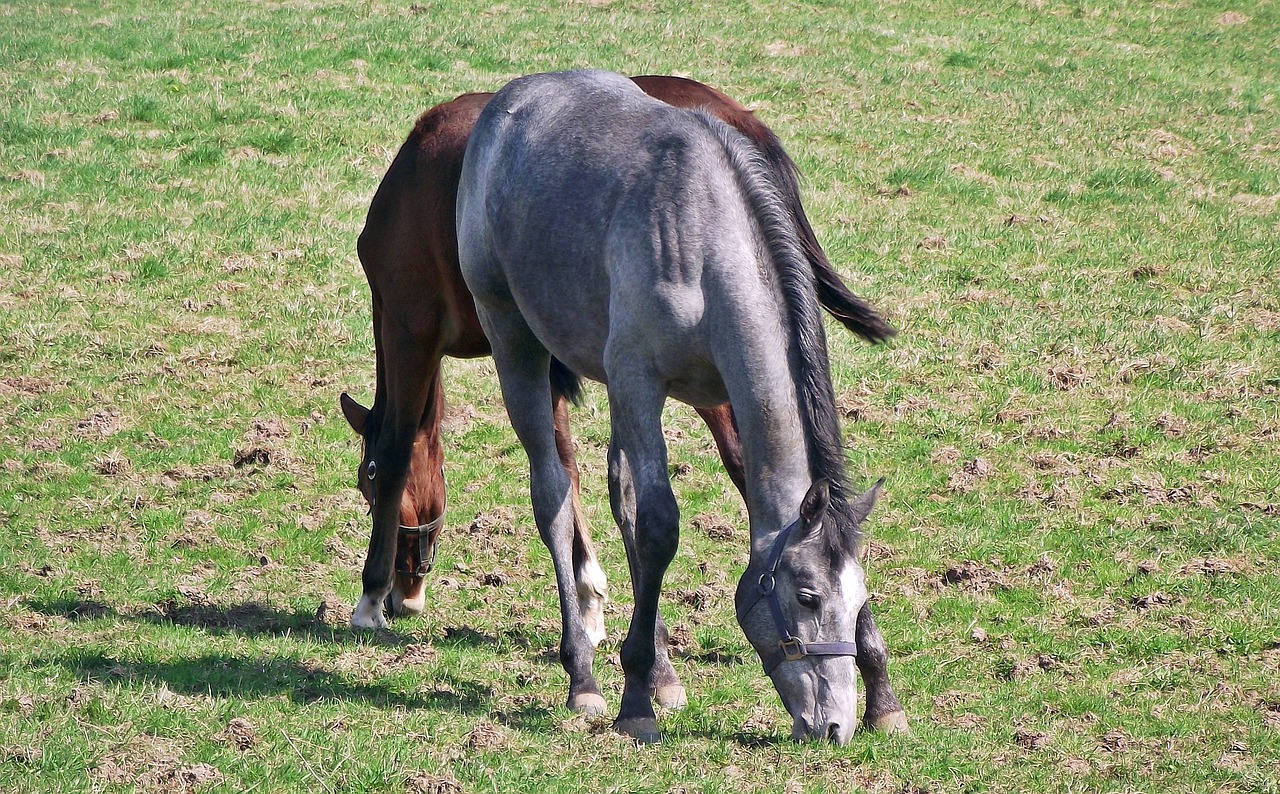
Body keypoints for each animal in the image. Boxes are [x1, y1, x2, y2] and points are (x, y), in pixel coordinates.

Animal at [335, 79, 906, 732]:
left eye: (857, 599)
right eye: (807, 596)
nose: (834, 725)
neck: (702, 246)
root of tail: (510, 99)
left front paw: (883, 698)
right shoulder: (635, 382)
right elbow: (657, 526)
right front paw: (635, 701)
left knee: (612, 492)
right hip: (516, 342)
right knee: (554, 495)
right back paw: (583, 674)